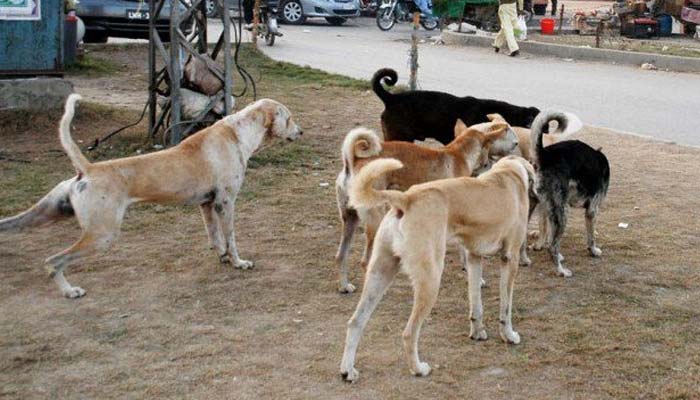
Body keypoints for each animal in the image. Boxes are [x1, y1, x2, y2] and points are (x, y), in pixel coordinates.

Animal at [2, 95, 304, 298]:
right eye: (288, 118)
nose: (301, 131)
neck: (238, 133)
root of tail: (86, 169)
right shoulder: (225, 203)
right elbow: (230, 237)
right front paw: (239, 263)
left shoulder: (207, 205)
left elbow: (214, 236)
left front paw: (222, 258)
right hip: (102, 234)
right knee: (53, 261)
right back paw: (70, 291)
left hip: (46, 212)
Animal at [334, 120, 516, 292]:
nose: (515, 147)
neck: (459, 154)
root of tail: (353, 162)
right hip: (375, 221)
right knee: (365, 262)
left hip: (349, 220)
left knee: (341, 256)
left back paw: (344, 286)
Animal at [340, 154, 536, 382]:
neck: (508, 172)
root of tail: (406, 198)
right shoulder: (510, 259)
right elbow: (506, 308)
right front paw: (509, 336)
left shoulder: (473, 258)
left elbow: (476, 304)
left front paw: (477, 333)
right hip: (430, 281)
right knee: (409, 333)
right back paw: (418, 369)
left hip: (380, 274)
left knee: (355, 322)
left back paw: (348, 370)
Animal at [532, 111, 608, 276]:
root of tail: (545, 155)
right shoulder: (592, 210)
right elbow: (591, 237)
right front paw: (593, 251)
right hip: (563, 212)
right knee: (552, 248)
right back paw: (561, 271)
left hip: (545, 207)